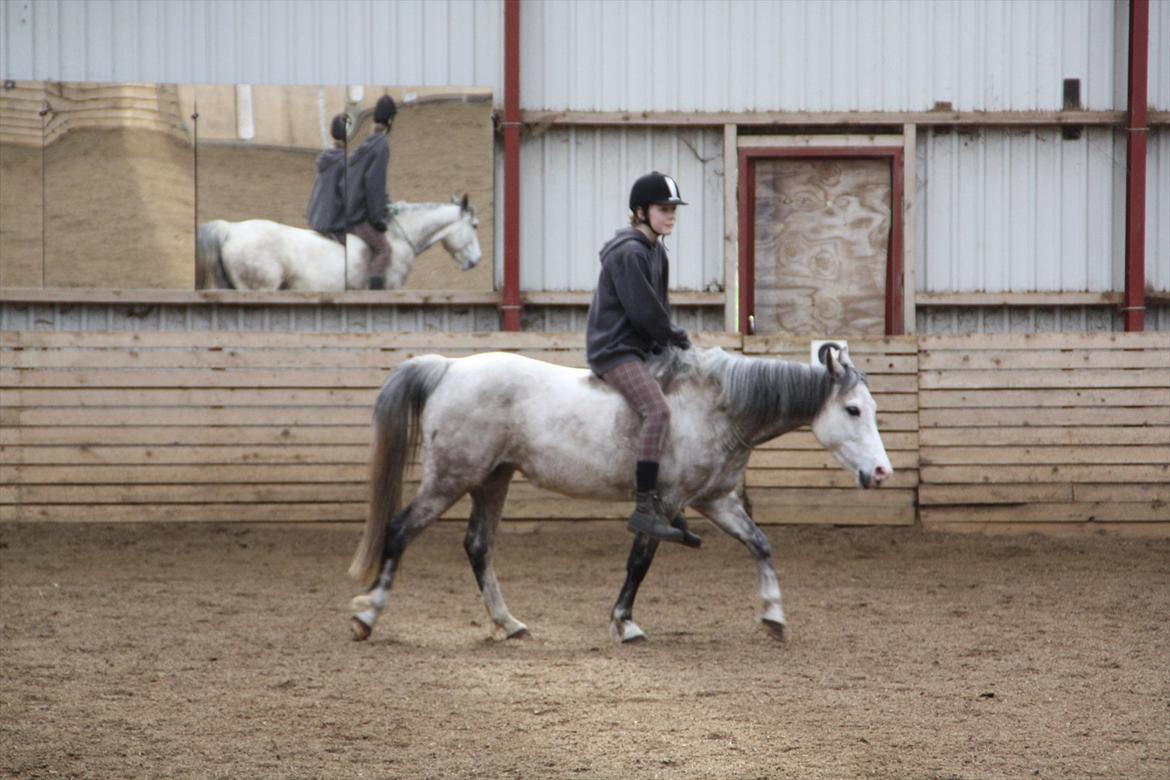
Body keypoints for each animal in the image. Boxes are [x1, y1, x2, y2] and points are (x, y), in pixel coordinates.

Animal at [348, 343, 893, 645]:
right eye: (852, 410)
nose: (882, 472)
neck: (717, 408)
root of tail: (449, 368)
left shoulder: (715, 500)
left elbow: (760, 545)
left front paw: (773, 615)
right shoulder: (665, 504)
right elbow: (639, 561)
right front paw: (624, 623)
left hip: (492, 480)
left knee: (479, 547)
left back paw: (509, 623)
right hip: (452, 478)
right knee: (399, 531)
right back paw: (367, 616)